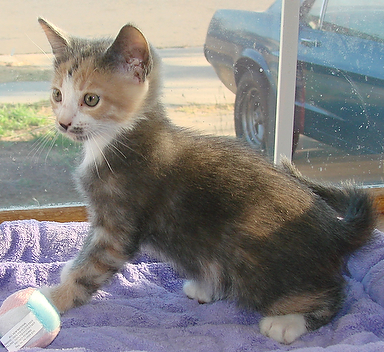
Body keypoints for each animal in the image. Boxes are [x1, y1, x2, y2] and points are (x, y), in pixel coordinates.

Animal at [38, 18, 376, 344]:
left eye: (91, 99)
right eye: (57, 95)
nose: (63, 123)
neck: (115, 139)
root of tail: (335, 230)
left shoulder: (117, 227)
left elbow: (90, 267)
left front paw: (51, 300)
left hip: (252, 256)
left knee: (334, 294)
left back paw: (289, 322)